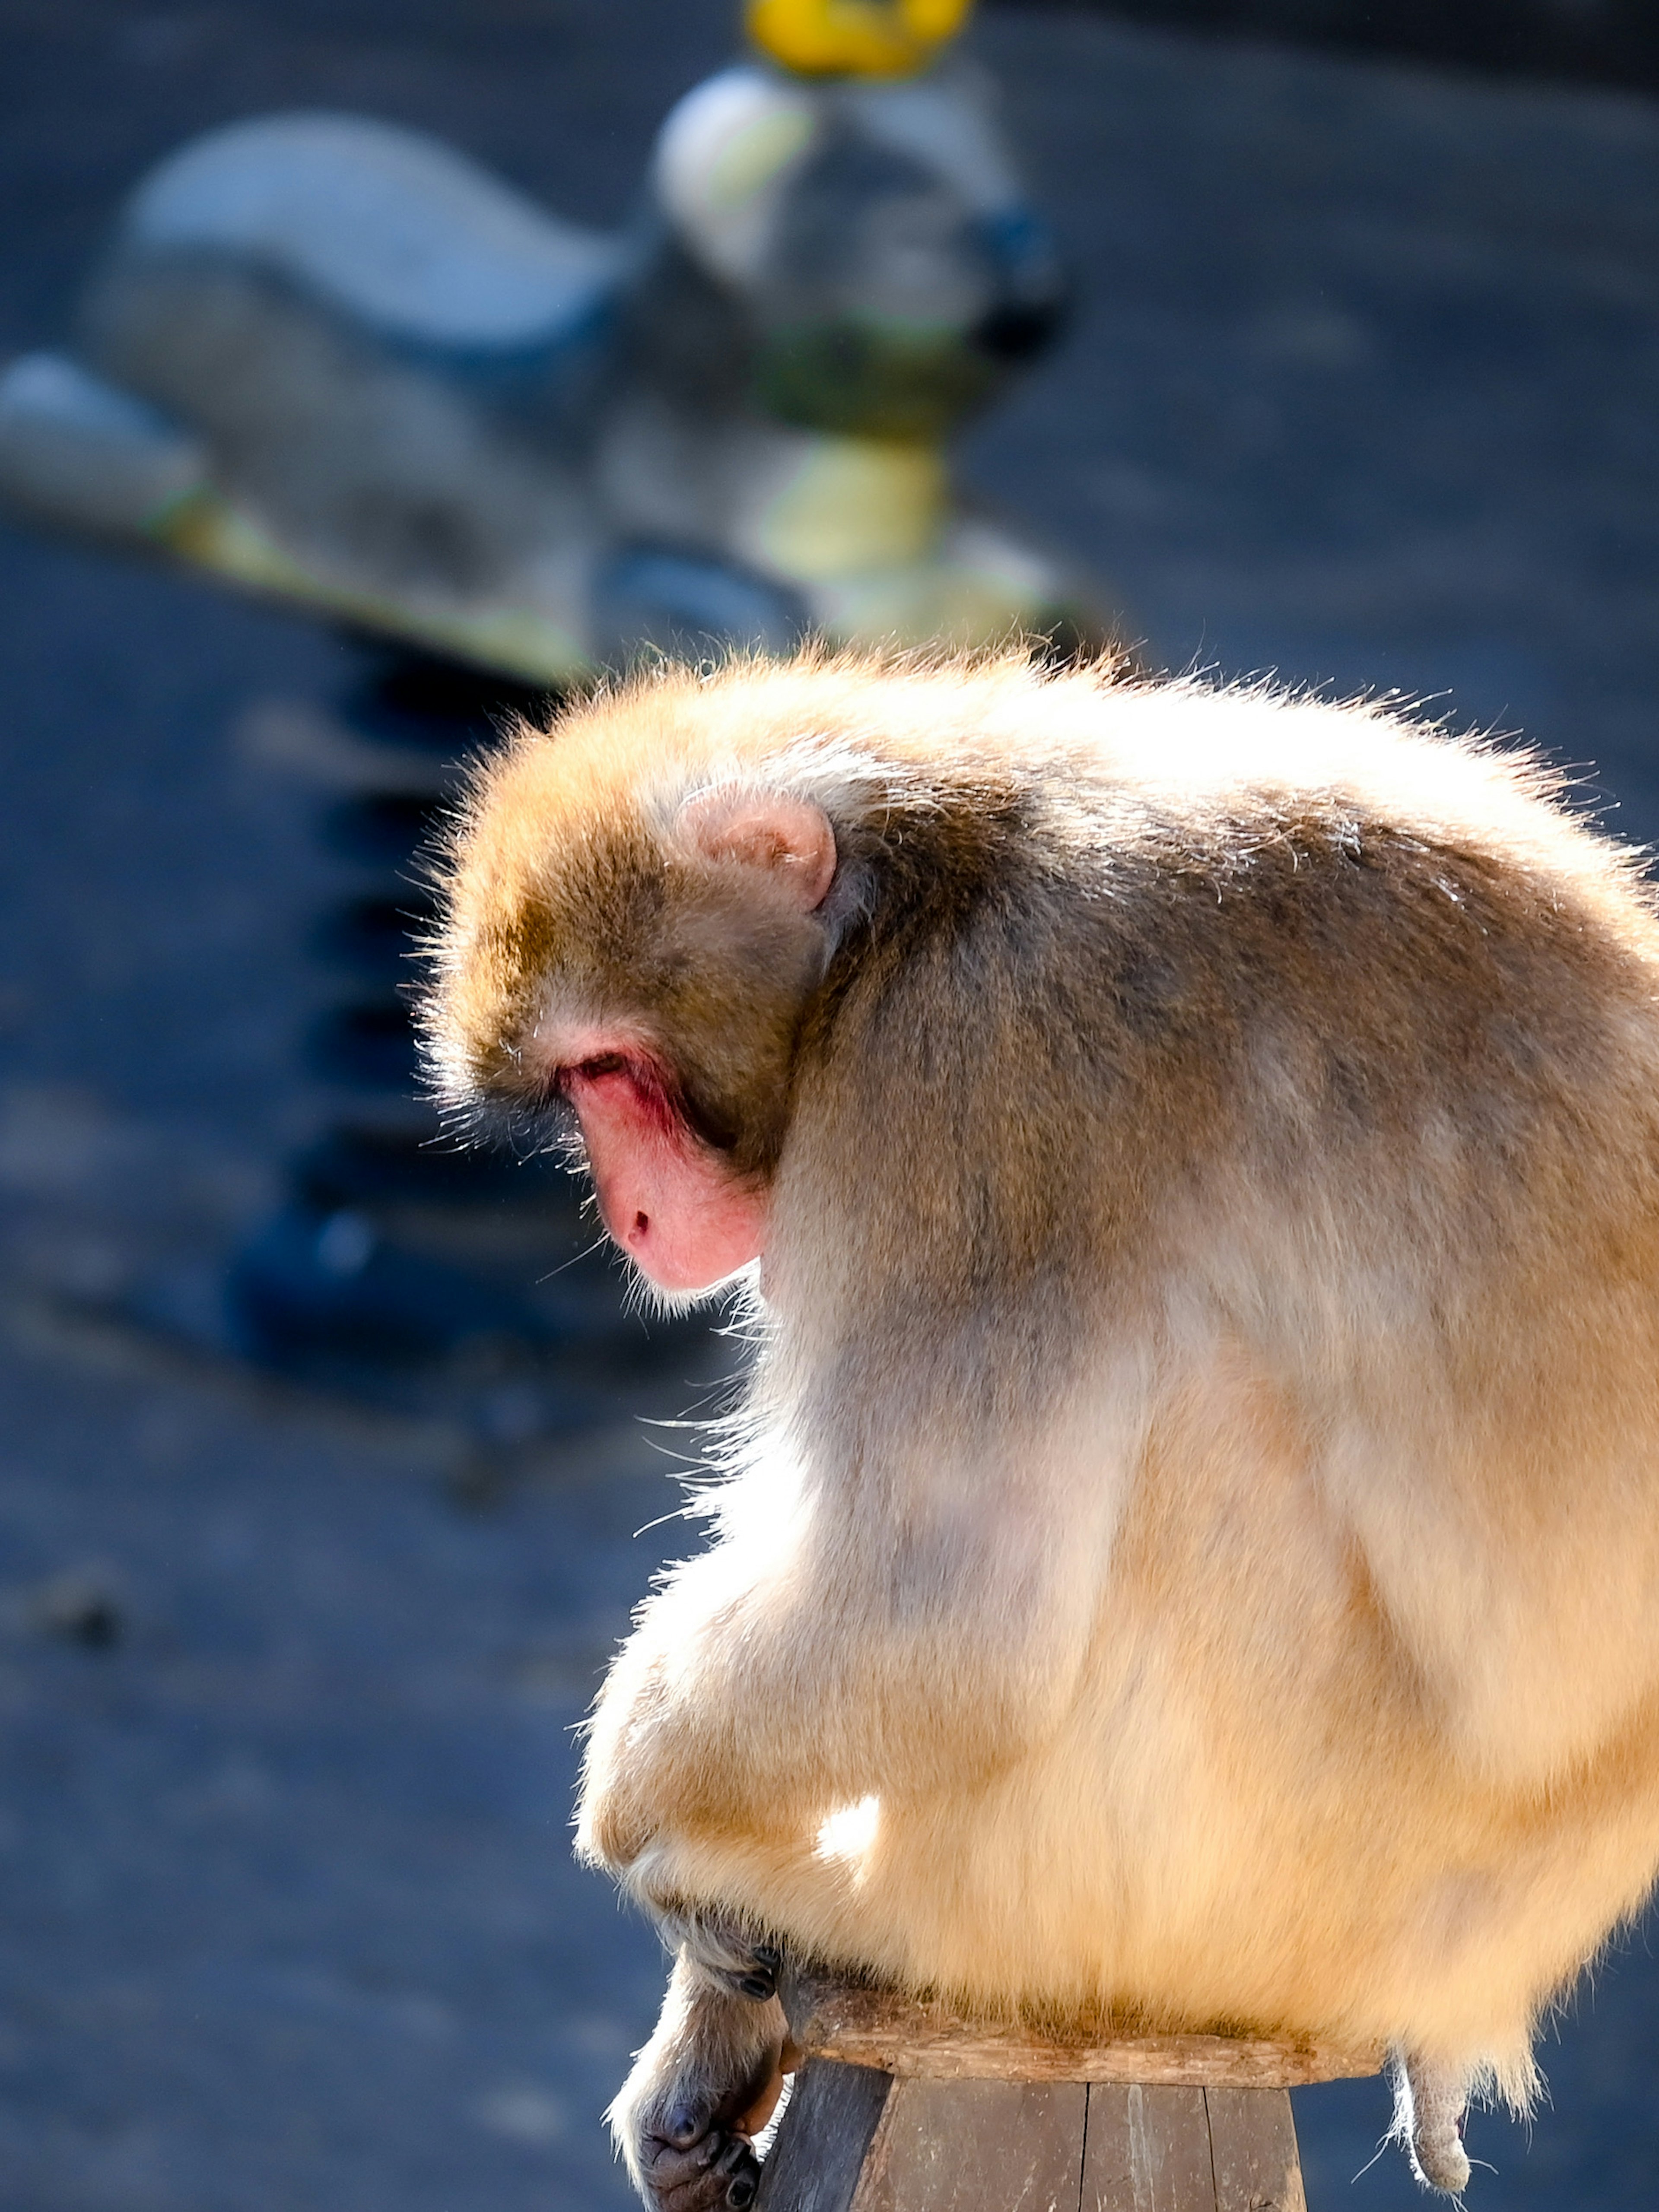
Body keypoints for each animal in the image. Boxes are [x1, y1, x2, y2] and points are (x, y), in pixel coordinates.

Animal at [425, 641, 1659, 2194]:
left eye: (607, 1069)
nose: (632, 1215)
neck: (932, 888)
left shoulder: (971, 1080)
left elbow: (945, 1612)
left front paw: (628, 1807)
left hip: (1216, 1900)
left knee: (1171, 1435)